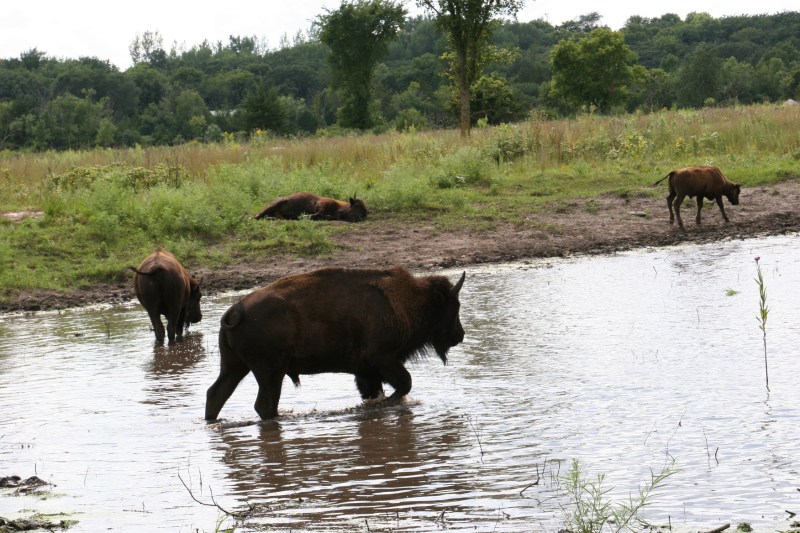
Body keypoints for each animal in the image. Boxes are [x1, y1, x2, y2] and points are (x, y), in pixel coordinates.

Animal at [205, 266, 466, 421]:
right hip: (270, 372)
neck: (408, 301)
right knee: (264, 404)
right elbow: (405, 384)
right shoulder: (384, 361)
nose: (460, 335)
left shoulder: (368, 373)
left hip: (235, 367)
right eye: (454, 306)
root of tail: (234, 310)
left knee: (216, 394)